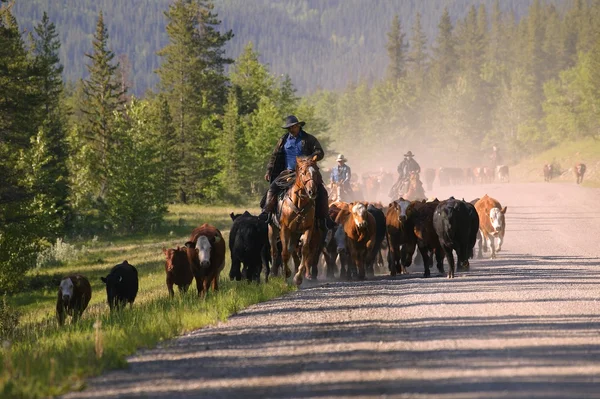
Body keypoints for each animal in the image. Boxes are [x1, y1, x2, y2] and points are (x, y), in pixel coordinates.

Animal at [268, 157, 324, 288]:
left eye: (316, 172)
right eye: (303, 173)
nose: (312, 192)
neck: (299, 202)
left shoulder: (308, 228)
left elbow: (304, 250)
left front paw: (298, 278)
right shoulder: (285, 229)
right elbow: (284, 253)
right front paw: (285, 277)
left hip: (295, 233)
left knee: (293, 250)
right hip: (272, 230)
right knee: (274, 250)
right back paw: (273, 273)